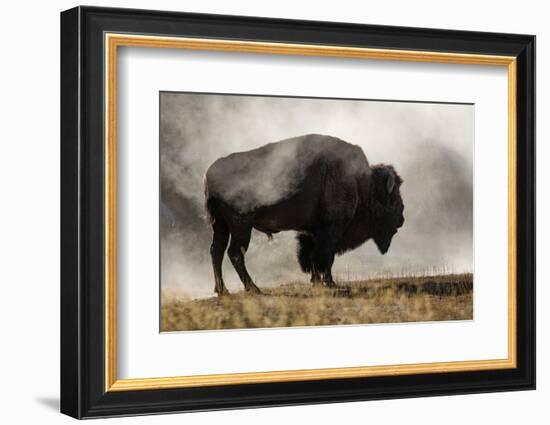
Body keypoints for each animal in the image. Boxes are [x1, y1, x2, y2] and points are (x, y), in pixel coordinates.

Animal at [205, 134, 404, 294]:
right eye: (393, 197)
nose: (401, 219)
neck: (361, 182)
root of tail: (210, 173)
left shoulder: (313, 232)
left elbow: (314, 257)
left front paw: (316, 282)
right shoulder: (331, 229)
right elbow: (326, 257)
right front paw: (329, 283)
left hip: (221, 225)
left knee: (216, 250)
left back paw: (222, 291)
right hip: (241, 226)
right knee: (234, 253)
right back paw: (253, 288)